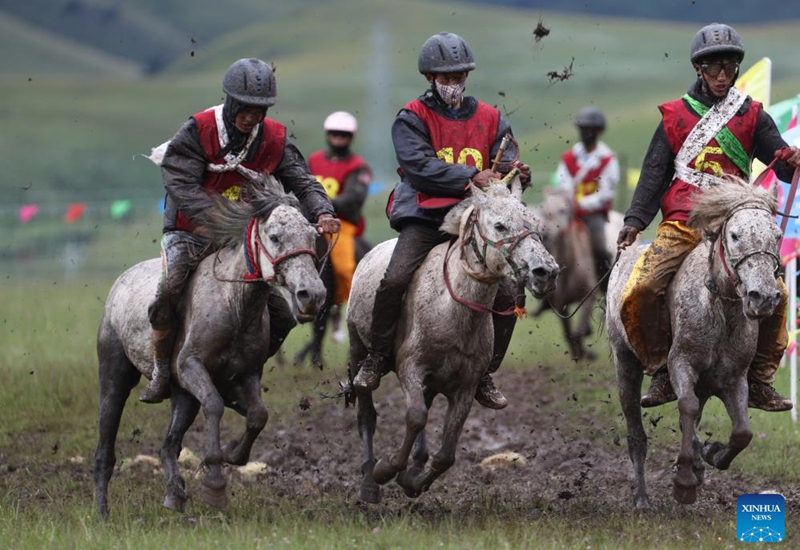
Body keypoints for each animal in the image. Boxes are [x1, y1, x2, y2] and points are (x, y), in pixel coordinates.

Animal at [95, 180, 326, 516]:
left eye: (312, 236)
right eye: (274, 236)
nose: (313, 295)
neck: (233, 304)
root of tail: (119, 285)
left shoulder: (247, 374)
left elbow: (258, 415)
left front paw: (231, 454)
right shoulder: (190, 366)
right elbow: (215, 405)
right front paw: (215, 483)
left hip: (182, 397)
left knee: (169, 445)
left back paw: (174, 494)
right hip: (115, 375)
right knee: (106, 442)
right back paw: (102, 510)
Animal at [346, 176, 560, 504]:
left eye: (535, 222)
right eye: (499, 225)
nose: (545, 272)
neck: (452, 310)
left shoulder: (465, 387)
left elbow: (446, 453)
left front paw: (412, 481)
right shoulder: (411, 368)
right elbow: (416, 416)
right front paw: (387, 470)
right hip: (358, 350)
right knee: (366, 414)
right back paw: (369, 483)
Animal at [608, 179, 780, 512]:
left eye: (777, 235)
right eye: (735, 235)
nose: (764, 297)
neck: (719, 310)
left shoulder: (734, 378)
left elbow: (742, 432)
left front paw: (713, 455)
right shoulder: (682, 364)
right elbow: (685, 407)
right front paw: (684, 483)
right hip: (625, 364)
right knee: (637, 435)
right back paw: (642, 499)